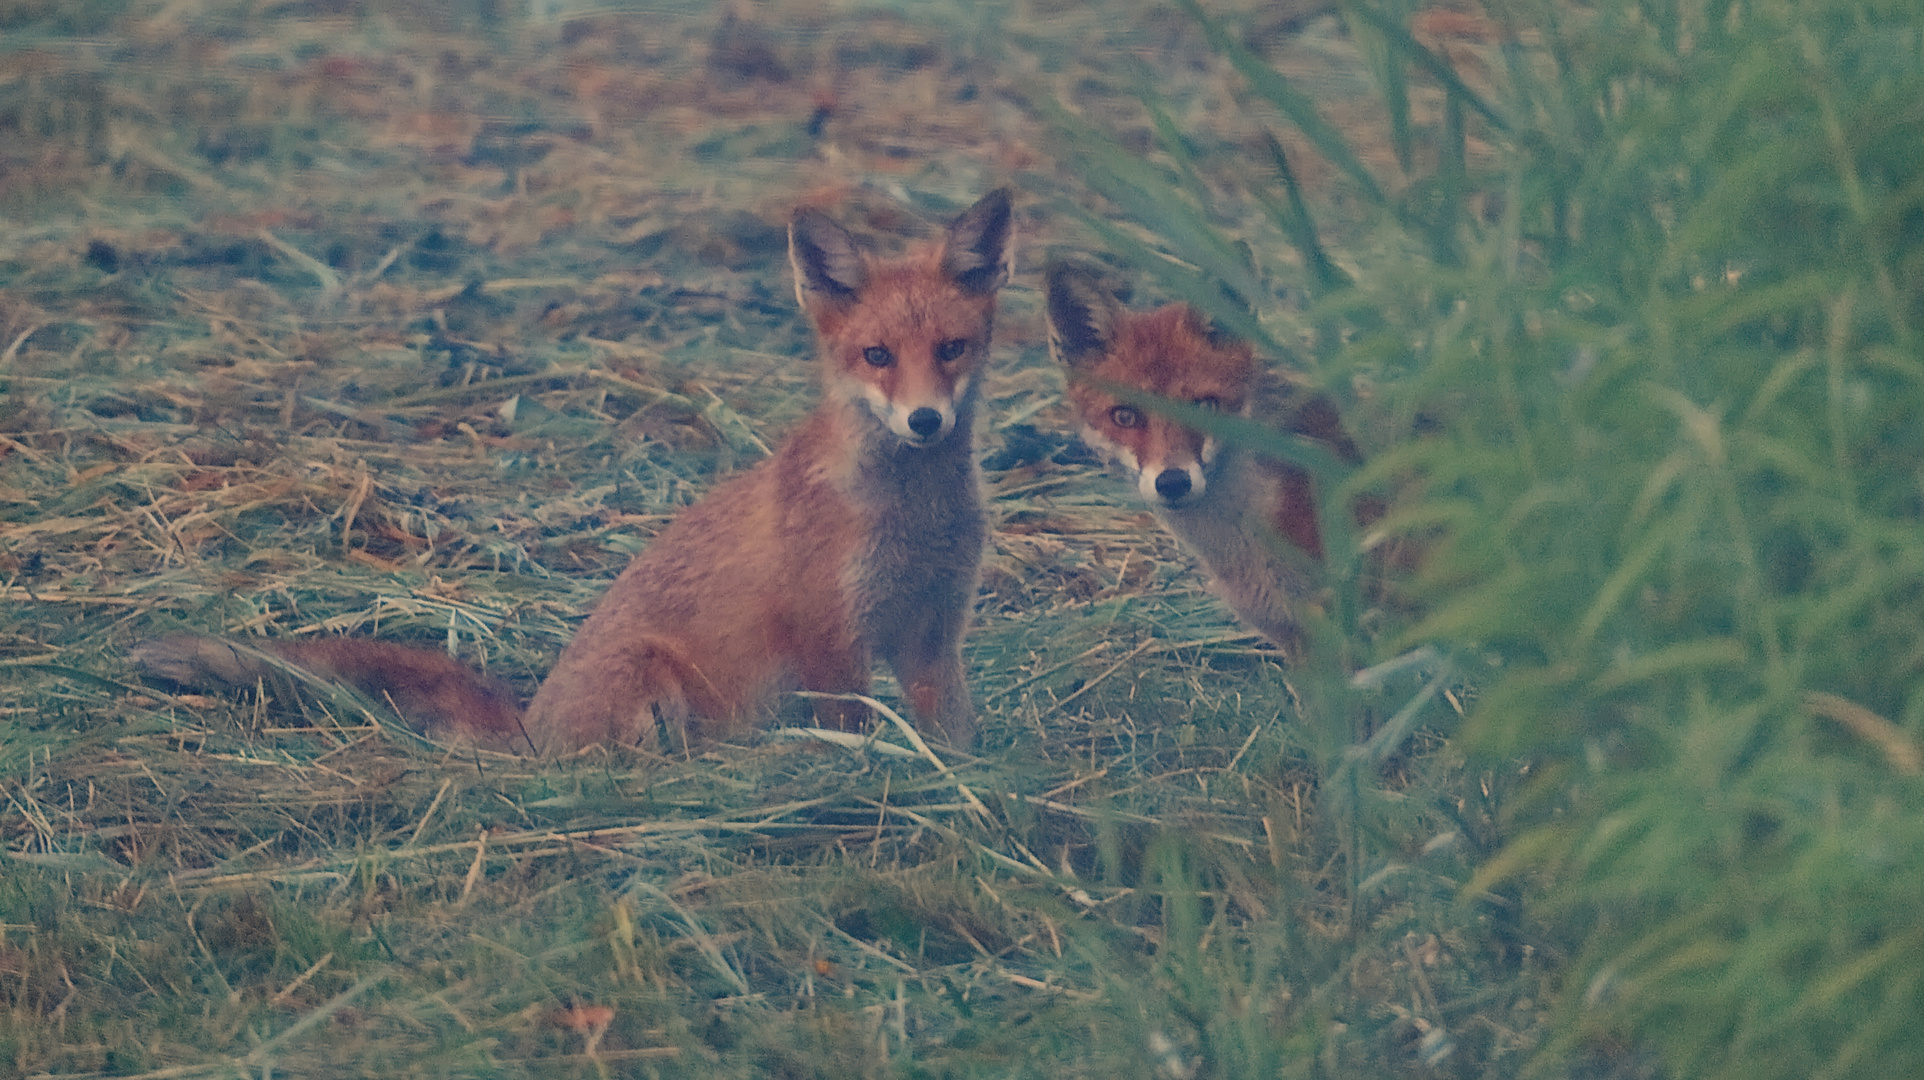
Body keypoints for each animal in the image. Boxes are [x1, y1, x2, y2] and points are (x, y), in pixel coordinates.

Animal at [135, 189, 1015, 754]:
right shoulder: (830, 636)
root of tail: (532, 726)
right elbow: (857, 735)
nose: (925, 421)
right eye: (877, 356)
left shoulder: (935, 632)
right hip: (653, 686)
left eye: (951, 349)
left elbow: (956, 739)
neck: (911, 518)